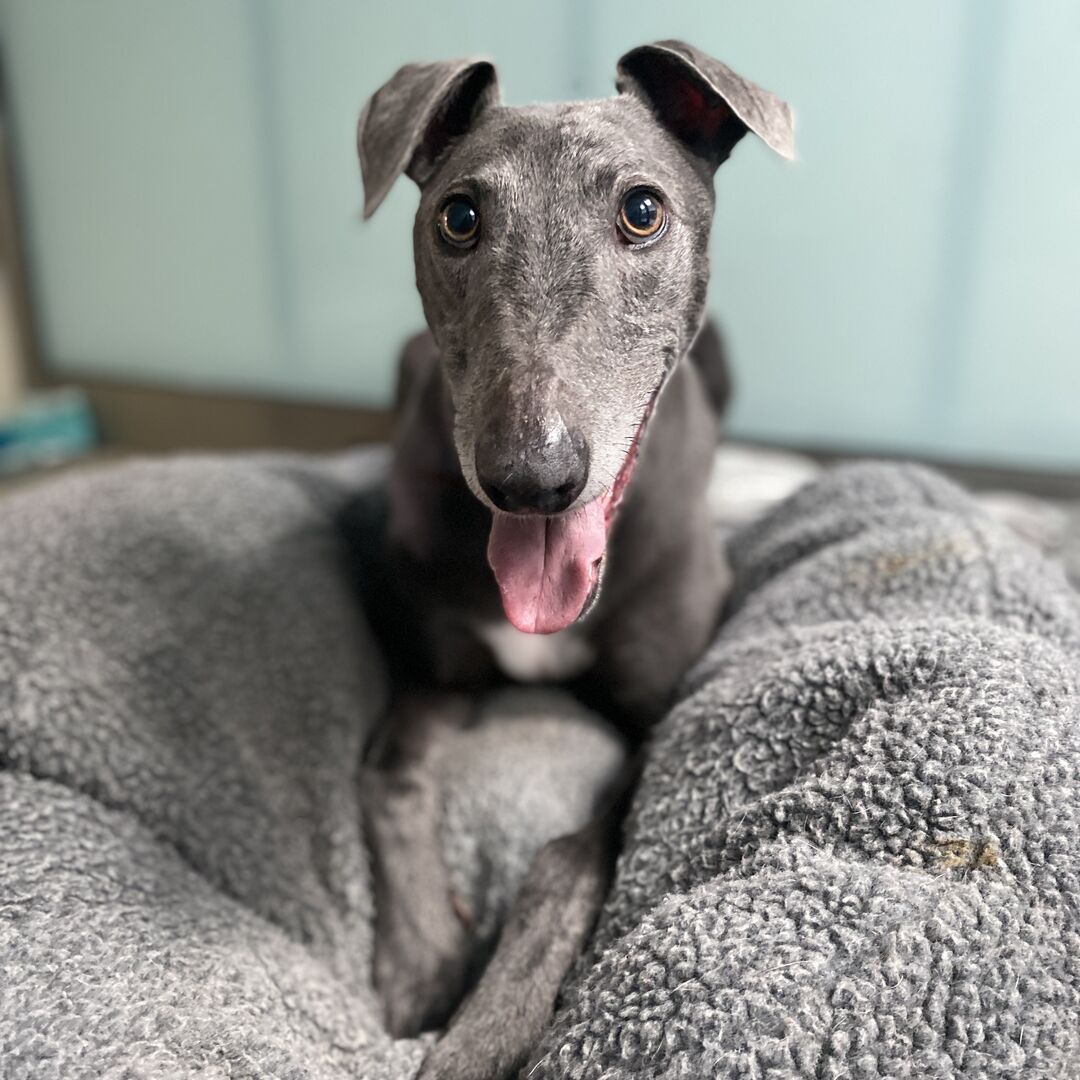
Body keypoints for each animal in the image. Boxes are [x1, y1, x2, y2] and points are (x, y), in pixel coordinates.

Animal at [354, 39, 794, 1080]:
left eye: (642, 209)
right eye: (459, 216)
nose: (531, 478)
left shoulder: (660, 713)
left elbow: (570, 856)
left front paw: (487, 1027)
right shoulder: (440, 670)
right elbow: (387, 772)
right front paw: (421, 959)